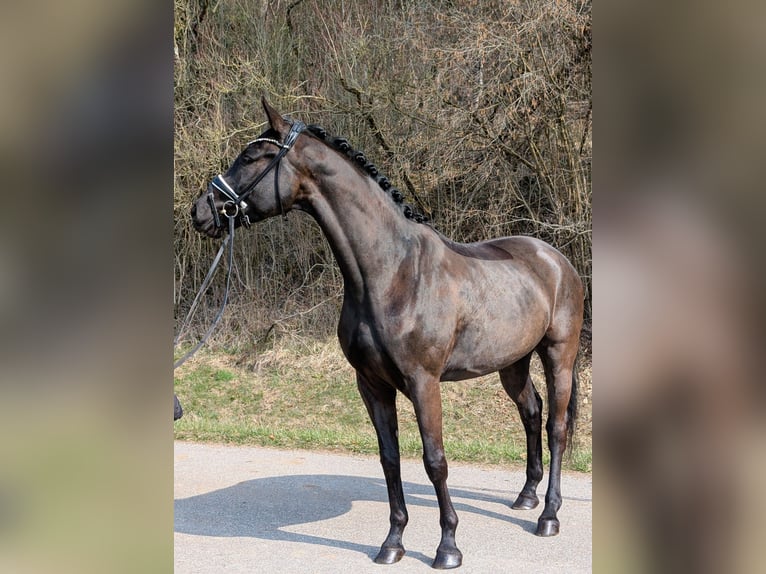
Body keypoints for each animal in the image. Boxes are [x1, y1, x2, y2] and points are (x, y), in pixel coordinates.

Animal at [191, 98, 584, 569]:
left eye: (252, 157)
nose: (201, 210)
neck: (391, 272)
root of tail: (555, 259)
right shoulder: (372, 385)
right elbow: (389, 459)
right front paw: (393, 542)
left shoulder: (423, 383)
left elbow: (435, 460)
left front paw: (448, 547)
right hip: (512, 363)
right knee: (531, 411)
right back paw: (526, 496)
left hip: (559, 355)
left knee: (557, 427)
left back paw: (548, 516)